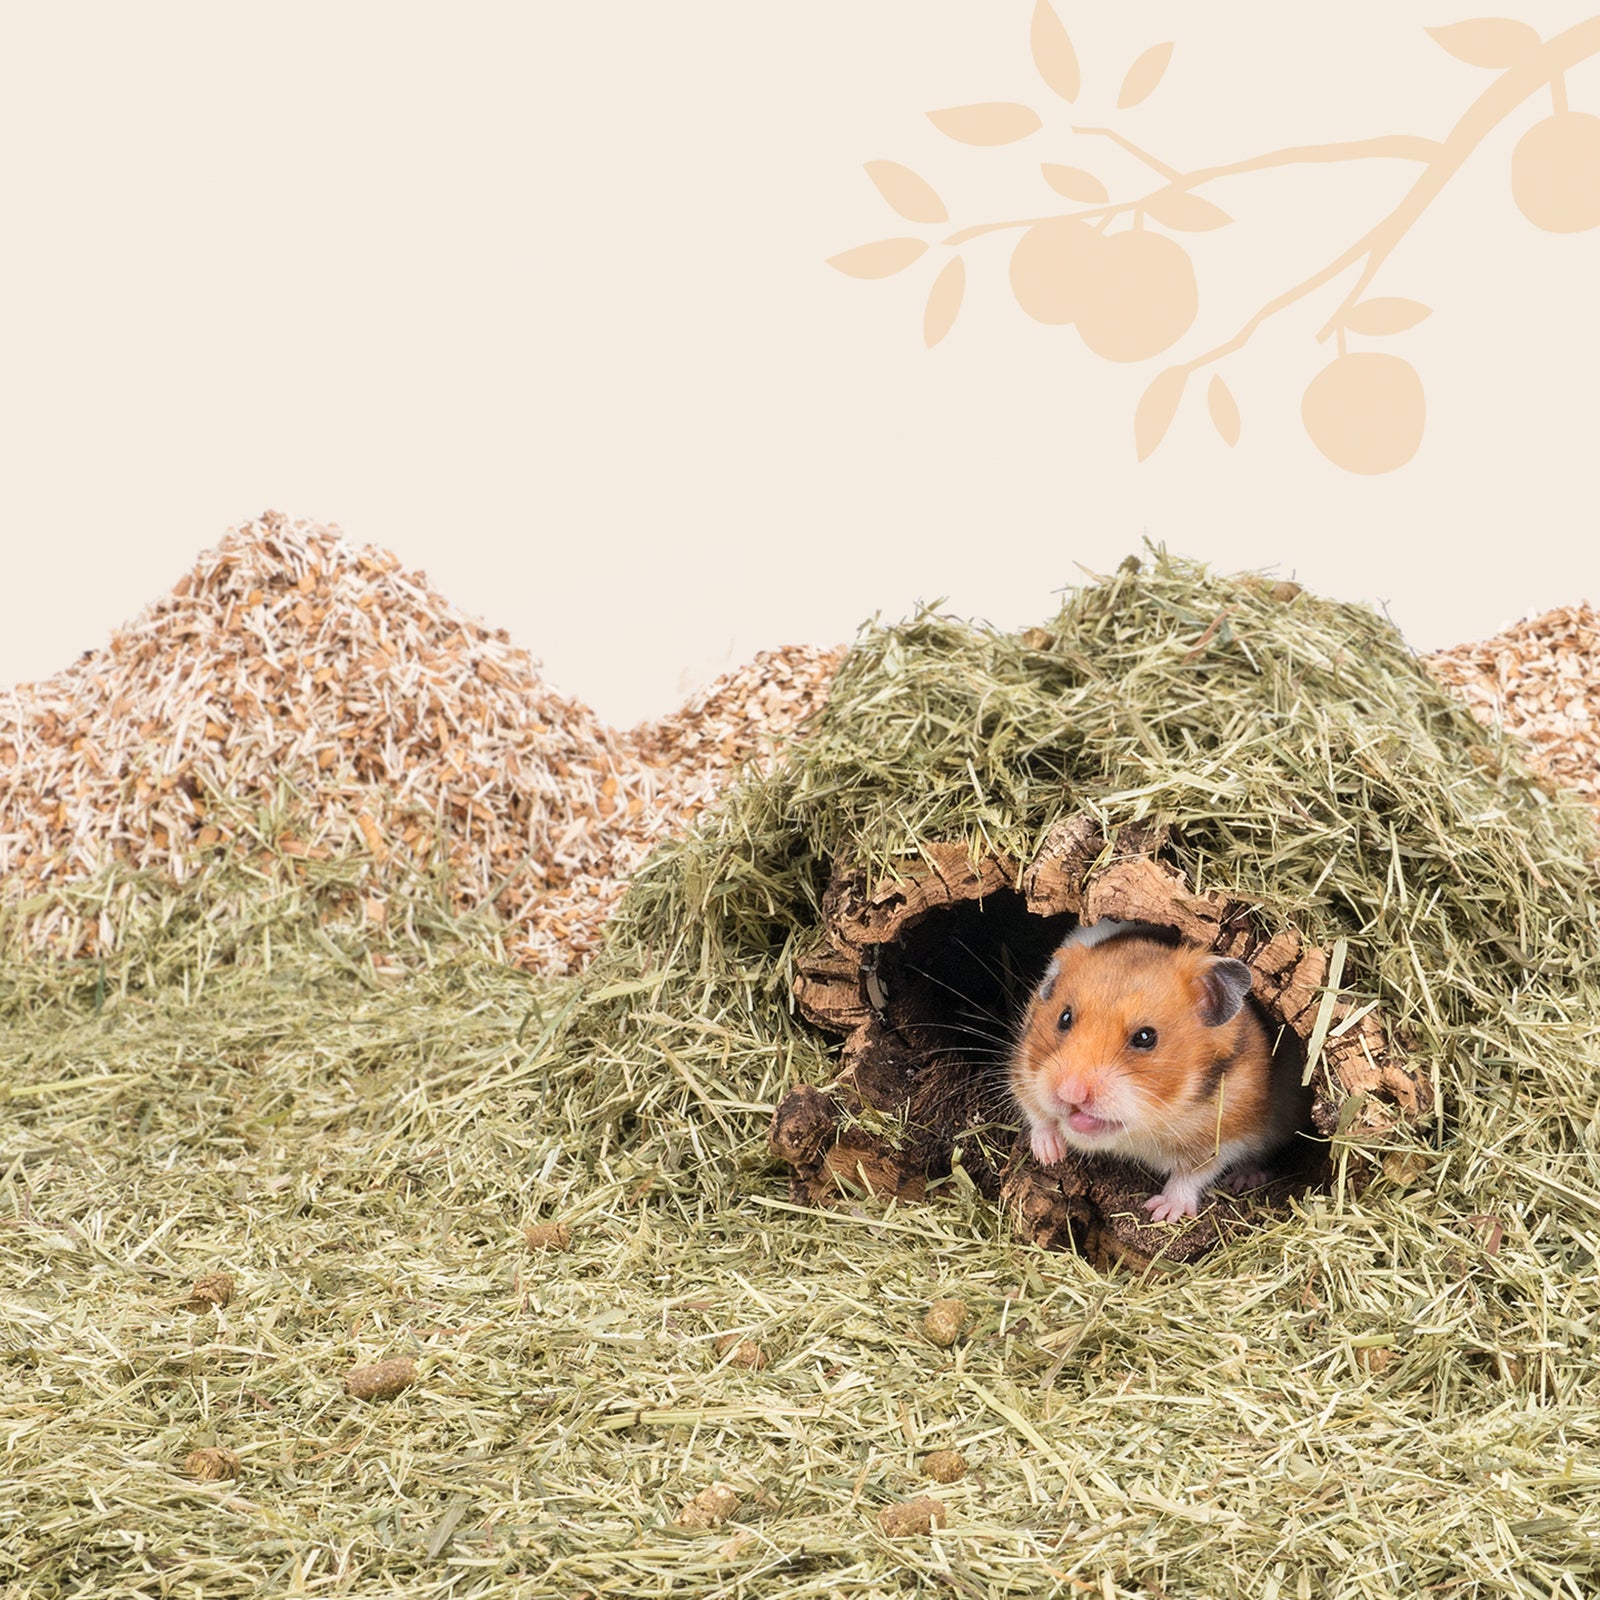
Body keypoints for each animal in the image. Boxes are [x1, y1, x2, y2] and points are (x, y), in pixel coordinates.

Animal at [1009, 919, 1305, 1222]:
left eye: (1145, 1037)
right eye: (1064, 1018)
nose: (1070, 1093)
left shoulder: (1230, 1129)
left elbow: (1194, 1173)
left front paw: (1162, 1213)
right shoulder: (1023, 1069)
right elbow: (1036, 1113)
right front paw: (1048, 1154)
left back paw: (1245, 1178)